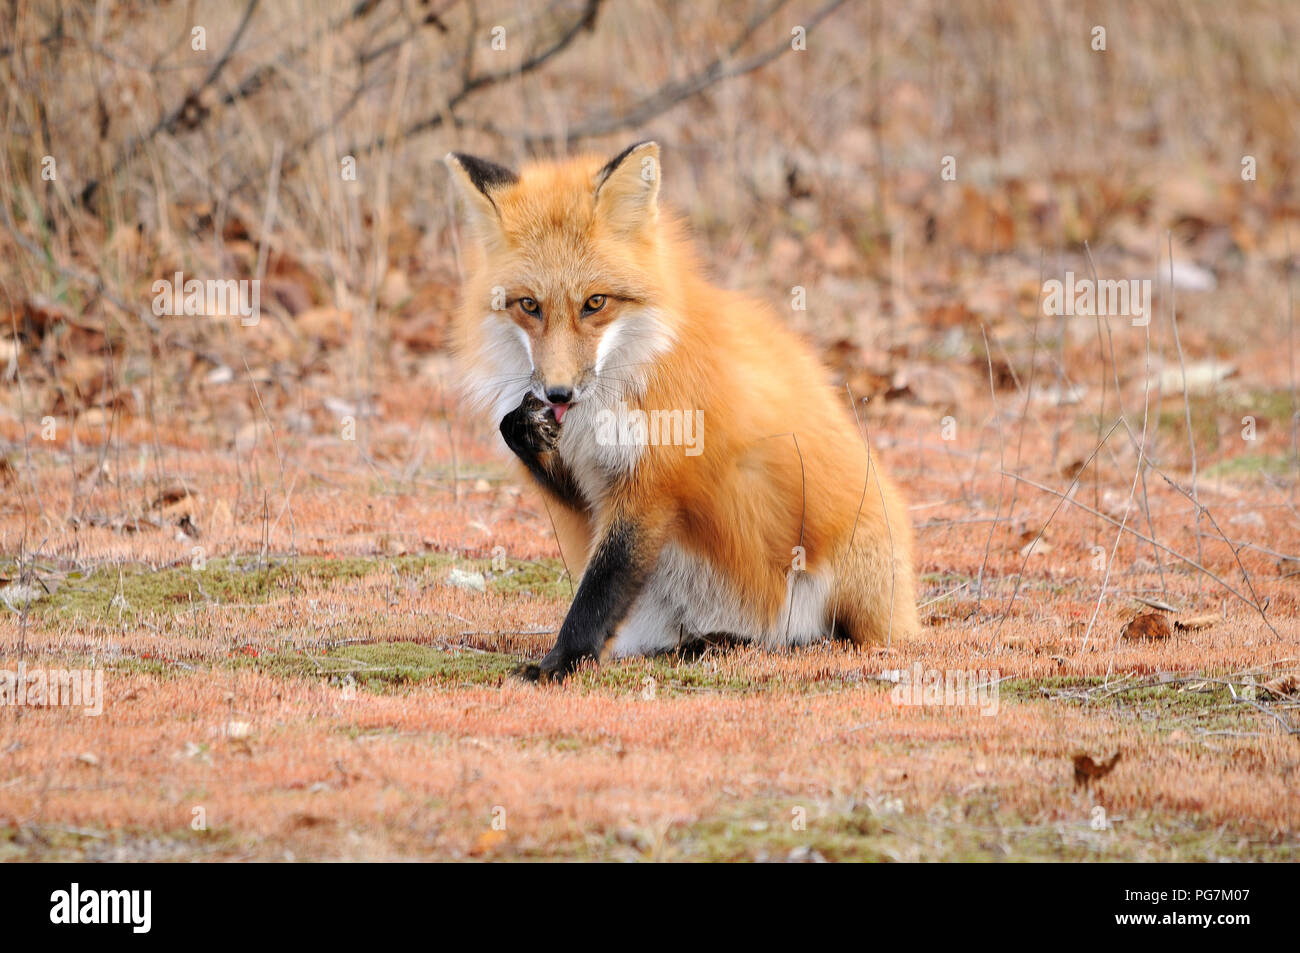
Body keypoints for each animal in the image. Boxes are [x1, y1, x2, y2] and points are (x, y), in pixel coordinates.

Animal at [452, 139, 920, 676]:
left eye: (595, 303)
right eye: (529, 305)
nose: (559, 393)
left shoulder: (652, 485)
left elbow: (599, 588)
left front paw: (561, 662)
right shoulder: (593, 486)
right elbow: (519, 435)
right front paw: (524, 428)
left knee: (813, 638)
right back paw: (703, 642)